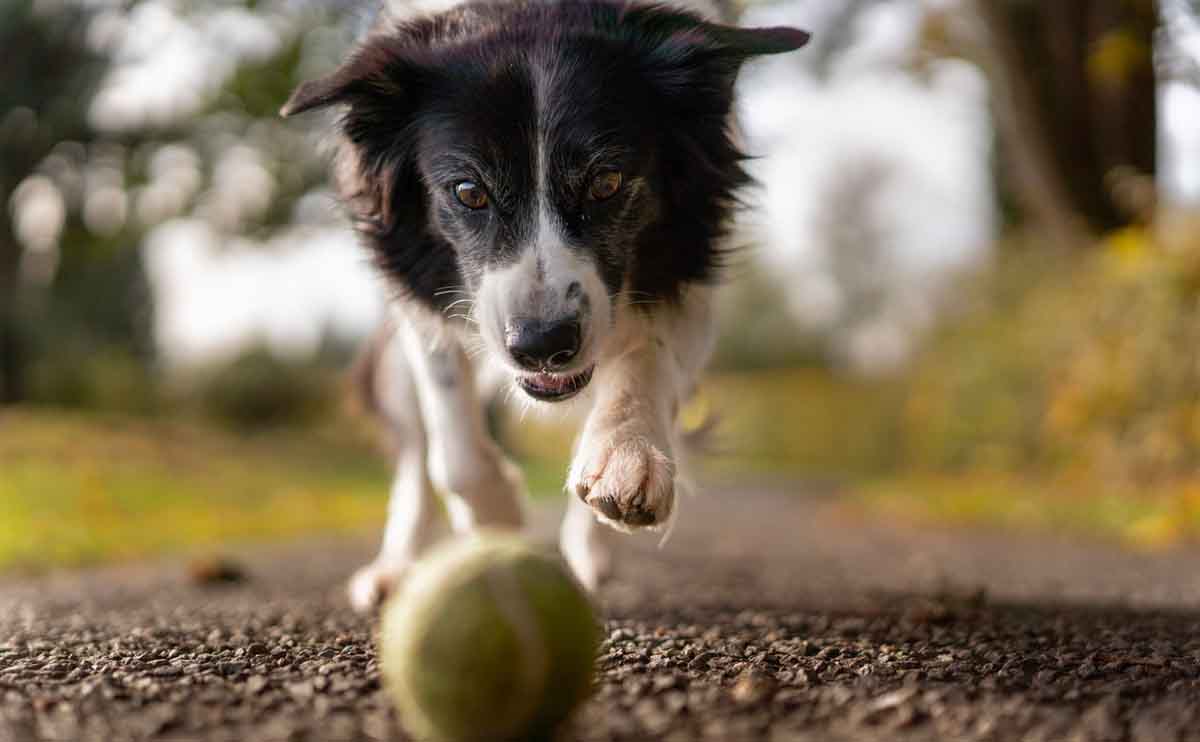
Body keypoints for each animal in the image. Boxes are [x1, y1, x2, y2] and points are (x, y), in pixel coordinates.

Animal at [279, 0, 806, 607]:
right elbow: (452, 445)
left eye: (606, 182)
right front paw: (498, 519)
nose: (542, 346)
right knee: (414, 453)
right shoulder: (420, 298)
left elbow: (647, 356)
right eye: (468, 192)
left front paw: (626, 457)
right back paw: (394, 569)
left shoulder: (689, 270)